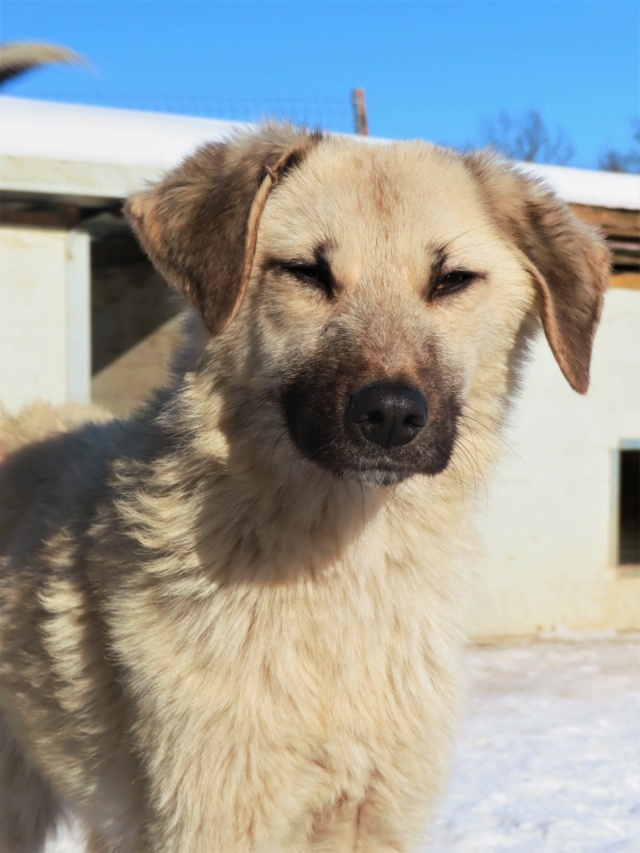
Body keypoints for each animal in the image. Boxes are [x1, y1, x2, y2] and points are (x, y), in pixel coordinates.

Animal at [0, 121, 608, 852]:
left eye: (452, 279)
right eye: (307, 272)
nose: (391, 415)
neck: (339, 580)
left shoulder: (374, 812)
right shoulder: (213, 813)